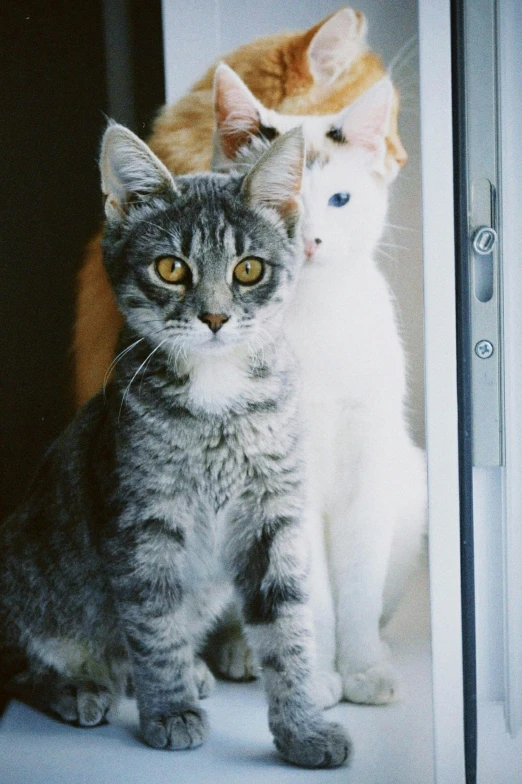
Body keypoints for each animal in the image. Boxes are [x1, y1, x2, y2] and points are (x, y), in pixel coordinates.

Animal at [1, 122, 350, 764]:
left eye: (248, 270)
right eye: (170, 267)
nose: (214, 317)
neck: (217, 402)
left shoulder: (271, 517)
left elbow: (287, 627)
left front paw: (303, 729)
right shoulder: (142, 525)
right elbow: (154, 622)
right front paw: (169, 710)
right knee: (19, 662)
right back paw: (79, 686)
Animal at [209, 64, 424, 708]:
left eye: (339, 199)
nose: (309, 241)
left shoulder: (368, 462)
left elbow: (357, 580)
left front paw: (363, 669)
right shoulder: (282, 487)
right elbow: (310, 593)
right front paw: (317, 677)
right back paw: (241, 652)